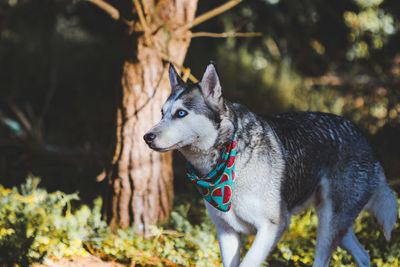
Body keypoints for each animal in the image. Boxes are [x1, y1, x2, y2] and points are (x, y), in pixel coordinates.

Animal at [144, 63, 396, 267]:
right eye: (162, 113)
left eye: (181, 113)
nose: (147, 136)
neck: (231, 163)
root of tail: (365, 141)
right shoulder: (227, 233)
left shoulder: (273, 227)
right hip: (337, 226)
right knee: (364, 255)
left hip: (328, 225)